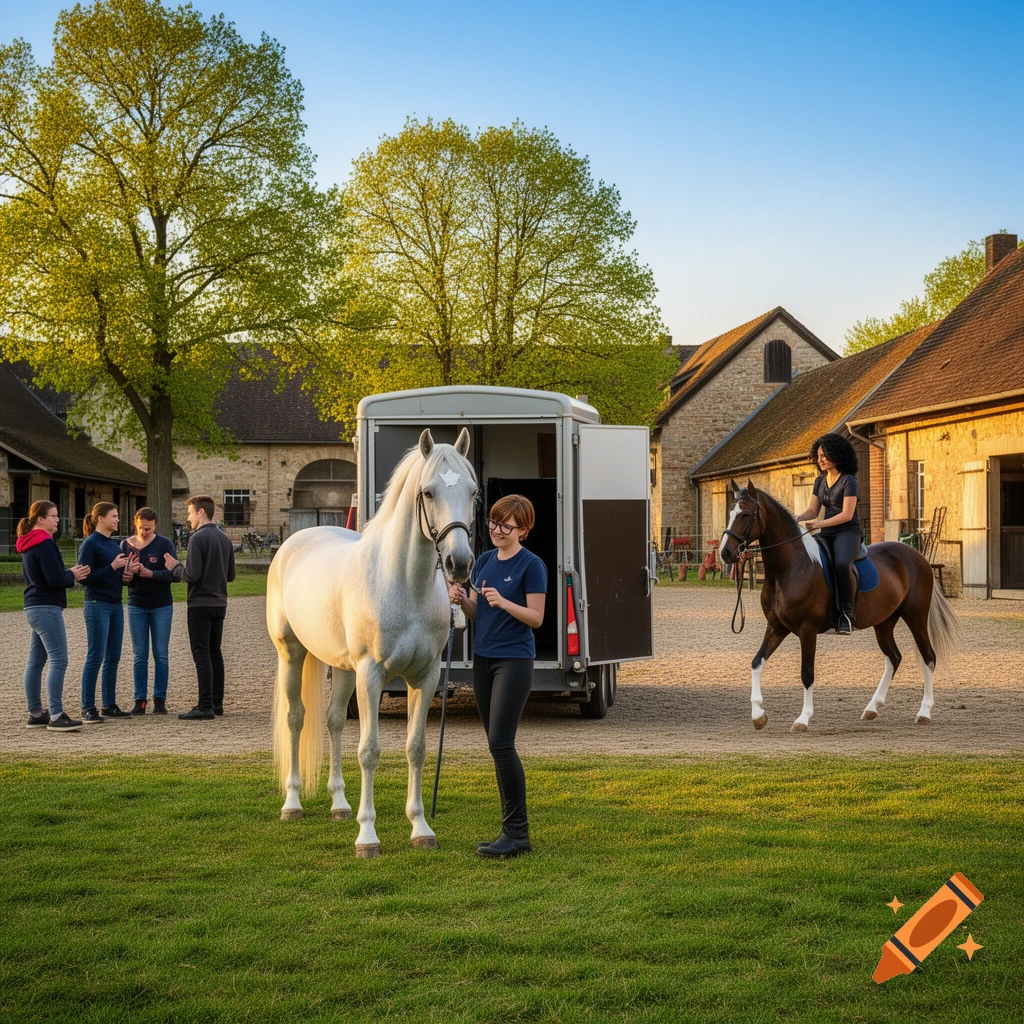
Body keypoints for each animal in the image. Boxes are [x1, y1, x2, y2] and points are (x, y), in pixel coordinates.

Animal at [266, 428, 476, 856]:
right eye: (428, 492)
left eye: (473, 492)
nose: (459, 564)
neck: (404, 584)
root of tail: (297, 539)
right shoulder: (372, 675)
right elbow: (369, 751)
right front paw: (367, 837)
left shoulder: (425, 677)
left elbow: (416, 748)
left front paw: (421, 828)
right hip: (292, 655)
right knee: (296, 718)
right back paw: (292, 804)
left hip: (343, 669)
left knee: (333, 721)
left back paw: (339, 805)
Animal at [719, 479, 959, 733]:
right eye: (730, 512)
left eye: (745, 514)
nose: (726, 552)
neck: (790, 568)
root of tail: (918, 557)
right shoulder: (777, 628)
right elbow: (756, 662)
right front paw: (758, 715)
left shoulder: (807, 630)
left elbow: (807, 673)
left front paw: (803, 719)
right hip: (884, 623)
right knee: (894, 657)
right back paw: (872, 708)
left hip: (916, 618)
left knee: (928, 657)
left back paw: (924, 712)